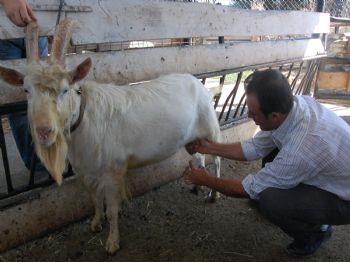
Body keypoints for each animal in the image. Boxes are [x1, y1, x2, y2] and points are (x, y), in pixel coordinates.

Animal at [0, 18, 220, 254]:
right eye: (26, 90)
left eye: (66, 89)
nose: (44, 131)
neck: (85, 122)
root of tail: (198, 84)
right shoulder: (85, 172)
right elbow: (95, 200)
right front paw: (96, 224)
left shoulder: (113, 171)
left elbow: (112, 209)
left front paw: (112, 243)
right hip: (192, 140)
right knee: (199, 158)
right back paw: (198, 186)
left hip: (211, 129)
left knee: (216, 159)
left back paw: (213, 195)